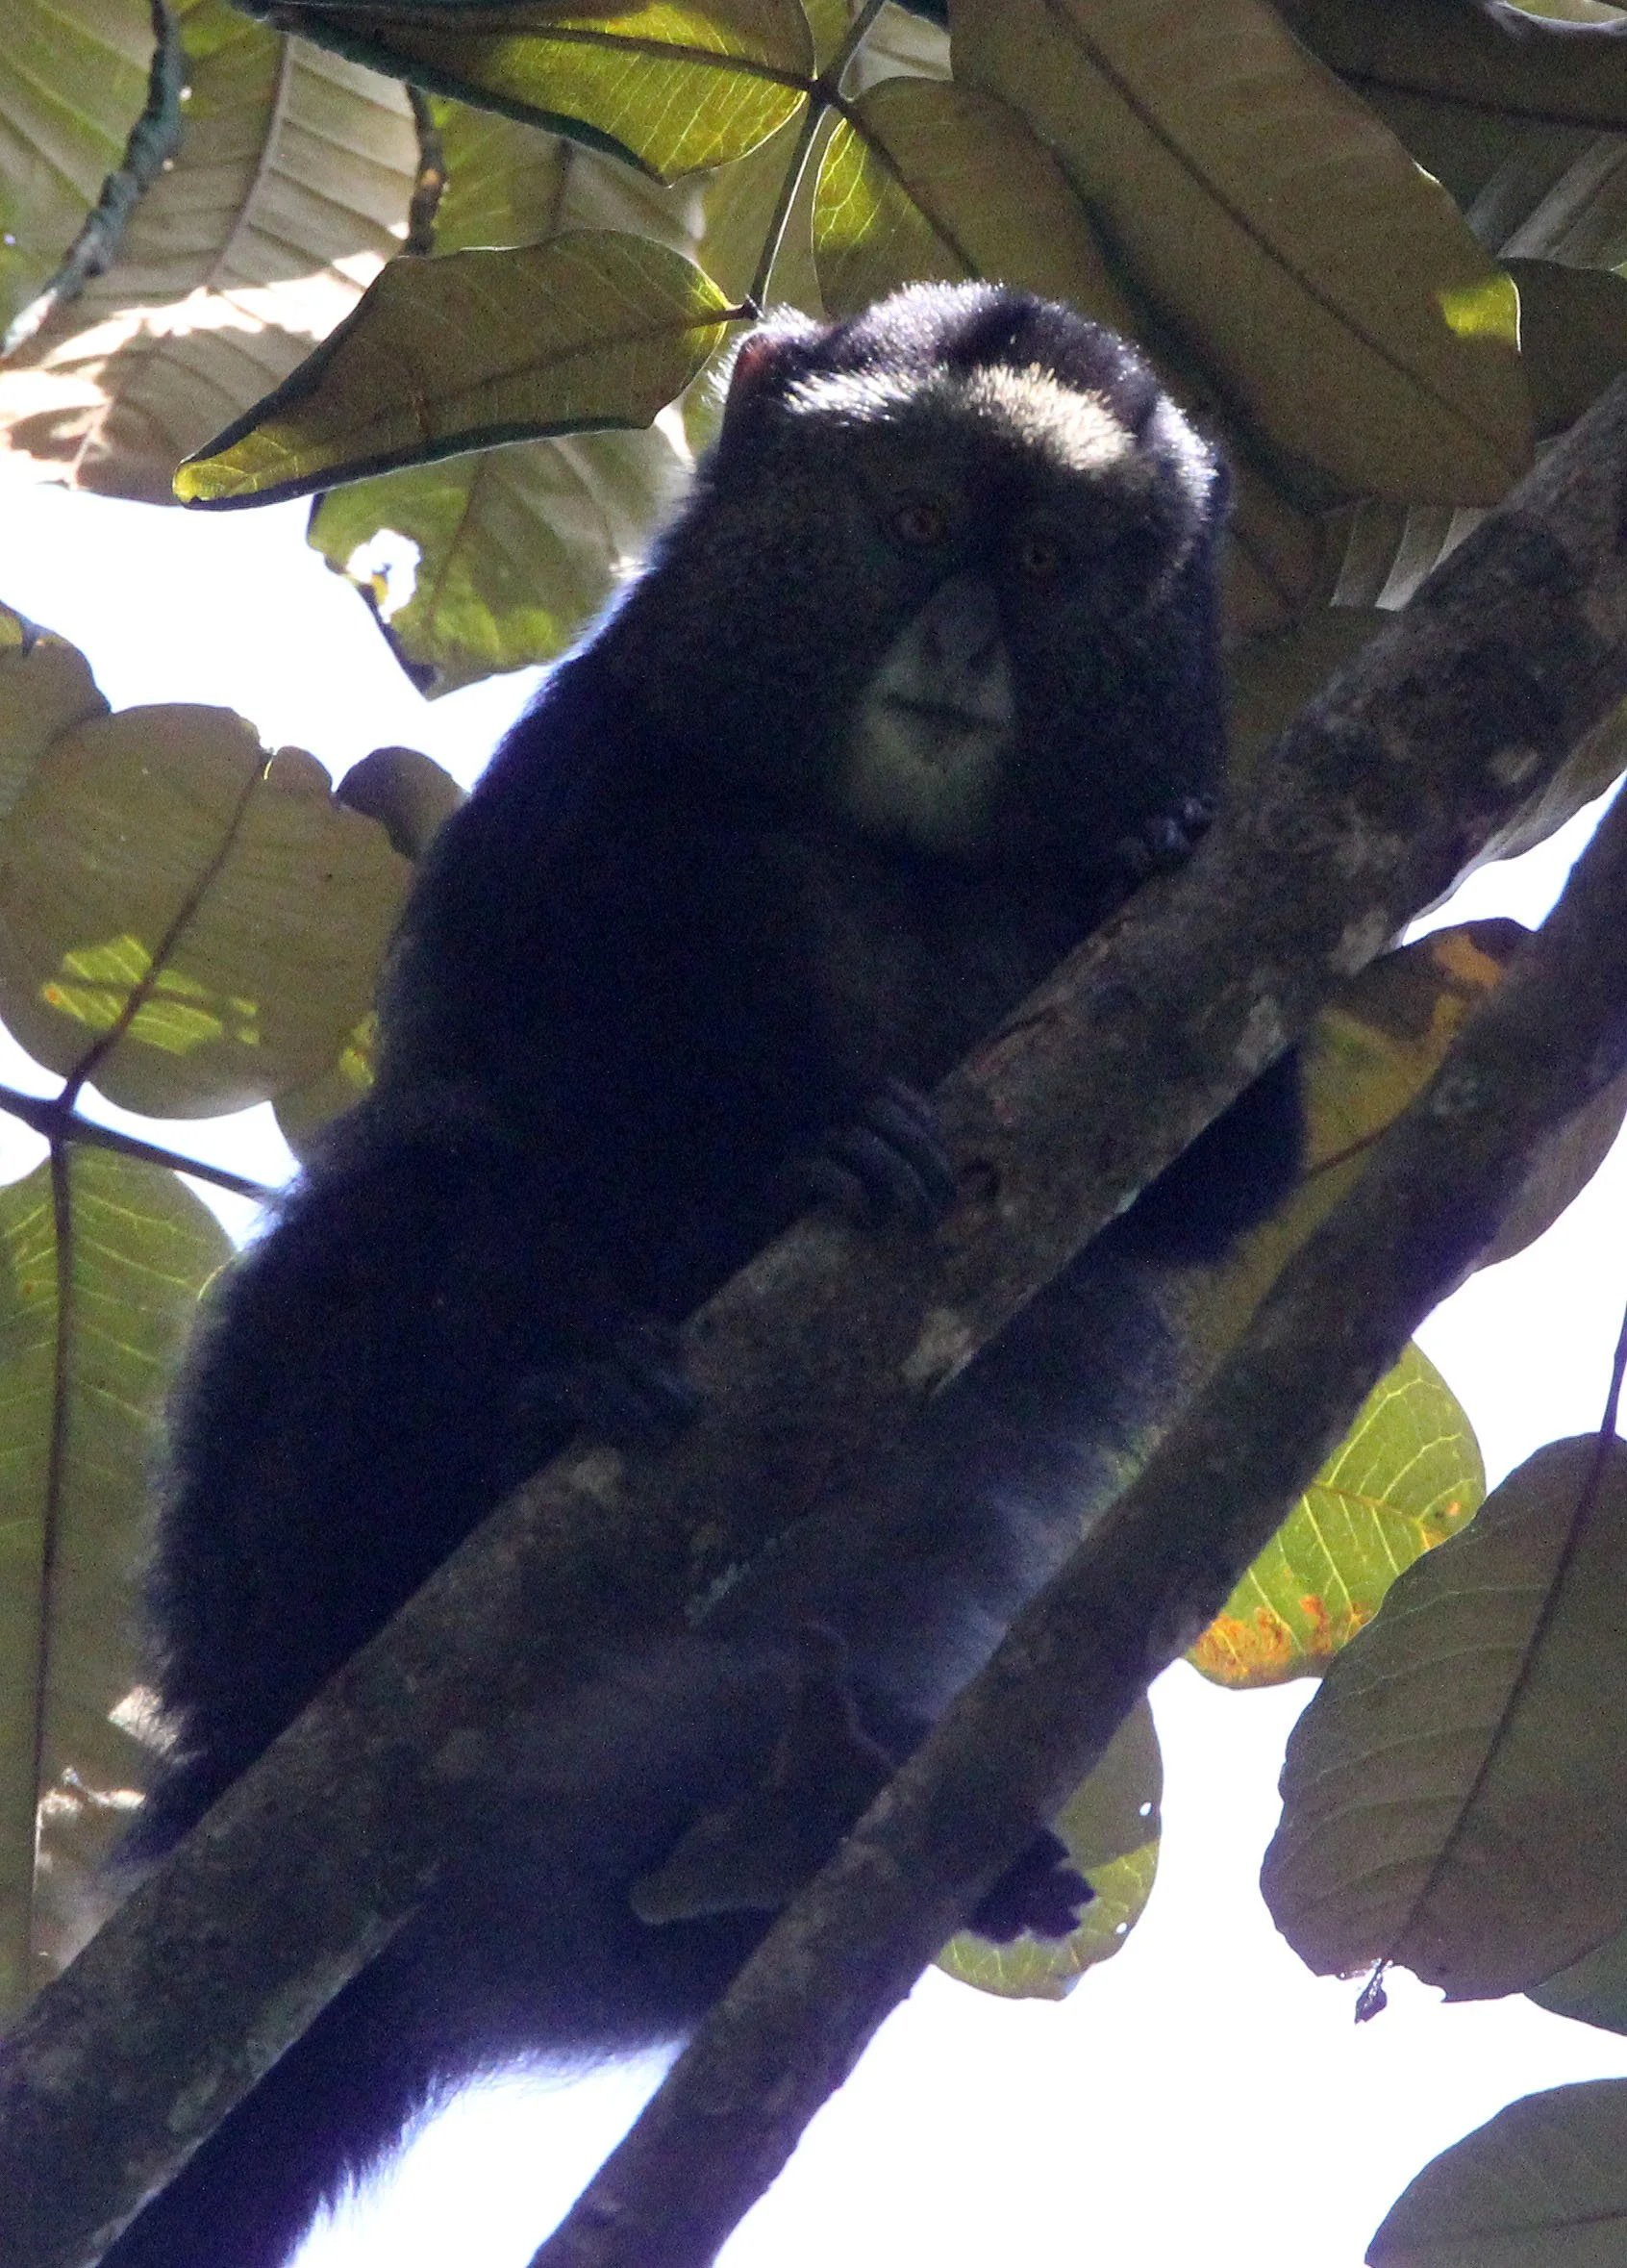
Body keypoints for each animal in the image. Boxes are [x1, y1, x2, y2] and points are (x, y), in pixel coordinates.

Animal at [89, 282, 1303, 2268]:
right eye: (913, 520)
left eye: (1047, 563)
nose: (963, 638)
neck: (892, 846)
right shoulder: (593, 767)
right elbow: (551, 1073)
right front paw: (806, 1152)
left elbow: (1217, 1180)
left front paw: (1135, 859)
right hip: (270, 1595)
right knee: (431, 1179)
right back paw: (518, 1438)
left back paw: (816, 1832)